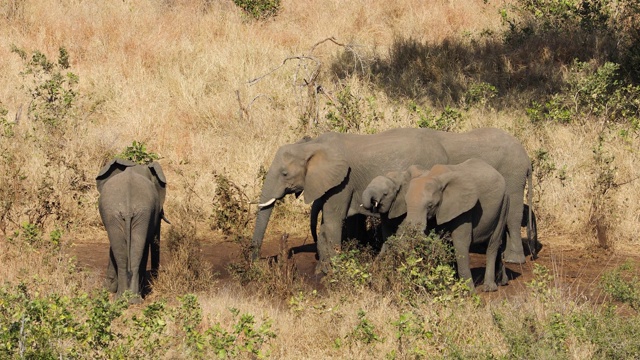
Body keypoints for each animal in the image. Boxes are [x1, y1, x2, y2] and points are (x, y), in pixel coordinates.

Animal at [95, 159, 168, 302]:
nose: (155, 280)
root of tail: (128, 207)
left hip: (132, 213)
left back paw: (128, 299)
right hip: (121, 213)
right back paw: (129, 299)